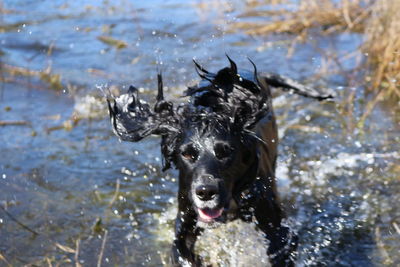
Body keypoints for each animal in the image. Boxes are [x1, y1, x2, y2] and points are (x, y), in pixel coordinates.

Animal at [105, 56, 332, 266]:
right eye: (187, 154)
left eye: (226, 152)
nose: (206, 192)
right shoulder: (185, 219)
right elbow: (181, 250)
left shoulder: (279, 231)